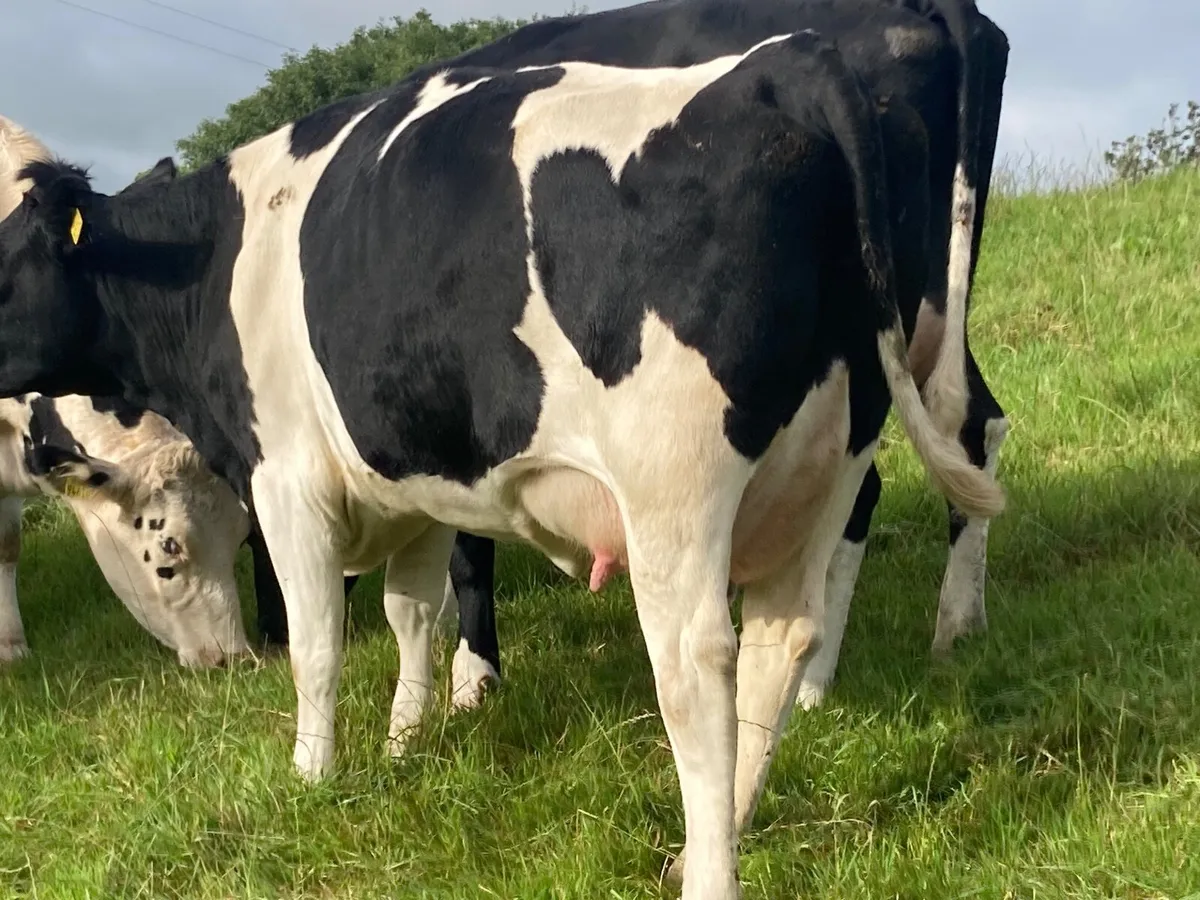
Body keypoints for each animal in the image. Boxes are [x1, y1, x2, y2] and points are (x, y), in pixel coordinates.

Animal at [333, 0, 1010, 716]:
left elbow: (469, 543)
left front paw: (474, 674)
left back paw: (816, 683)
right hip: (909, 330)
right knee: (972, 428)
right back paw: (957, 625)